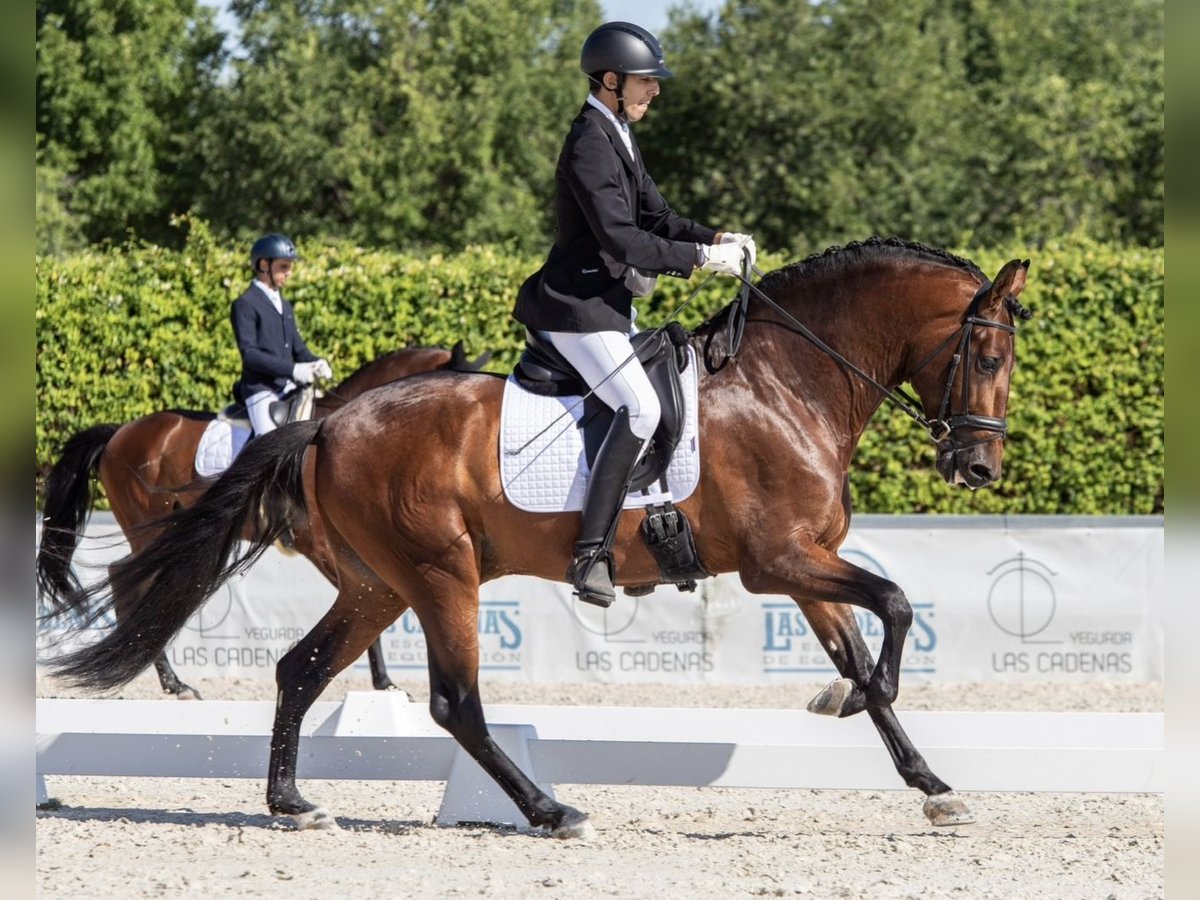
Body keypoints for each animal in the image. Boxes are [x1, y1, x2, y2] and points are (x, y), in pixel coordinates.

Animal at [37, 340, 489, 700]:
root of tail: (119, 432)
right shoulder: (321, 546)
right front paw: (385, 683)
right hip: (148, 528)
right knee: (124, 577)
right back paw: (171, 682)